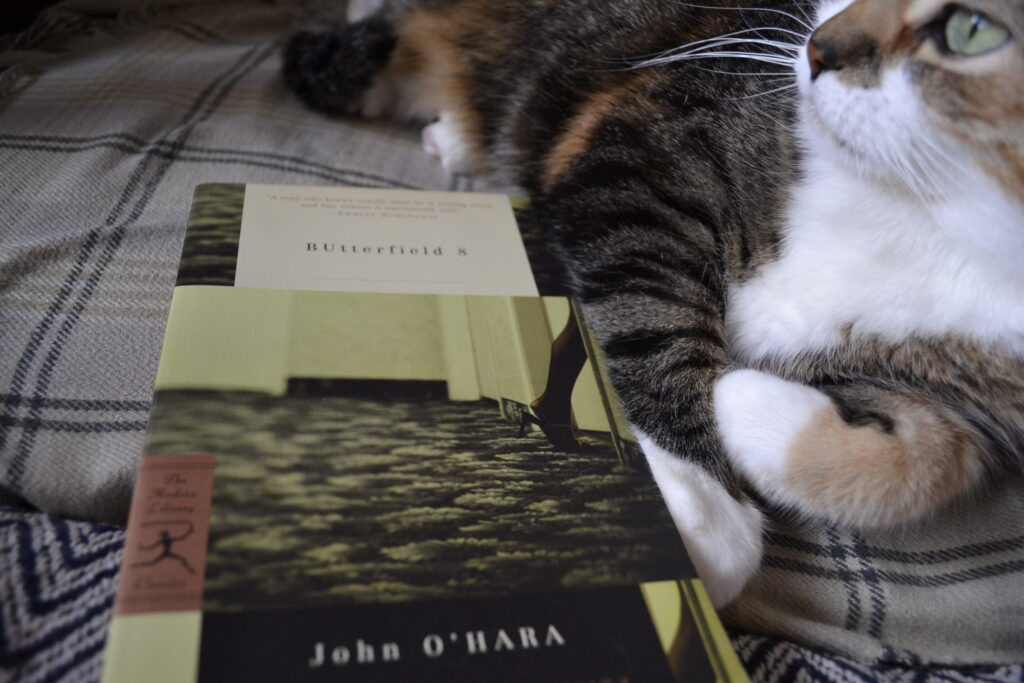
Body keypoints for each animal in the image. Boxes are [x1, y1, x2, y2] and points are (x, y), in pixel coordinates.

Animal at [282, 0, 1024, 610]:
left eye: (968, 28)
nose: (817, 45)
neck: (920, 218)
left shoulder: (968, 399)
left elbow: (923, 465)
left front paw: (746, 404)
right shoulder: (646, 154)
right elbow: (655, 318)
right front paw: (702, 512)